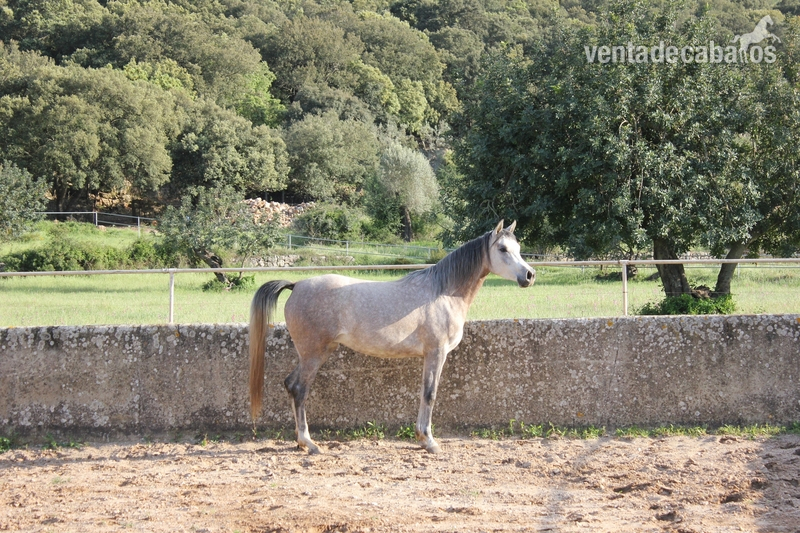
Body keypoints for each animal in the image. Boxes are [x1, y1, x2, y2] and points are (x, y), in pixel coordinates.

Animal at [248, 220, 535, 454]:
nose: (529, 275)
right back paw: (309, 443)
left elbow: (424, 392)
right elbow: (430, 393)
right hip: (313, 354)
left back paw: (300, 442)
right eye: (503, 249)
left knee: (290, 384)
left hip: (315, 353)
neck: (443, 292)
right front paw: (429, 441)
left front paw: (423, 438)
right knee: (299, 389)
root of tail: (296, 285)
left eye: (518, 247)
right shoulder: (436, 352)